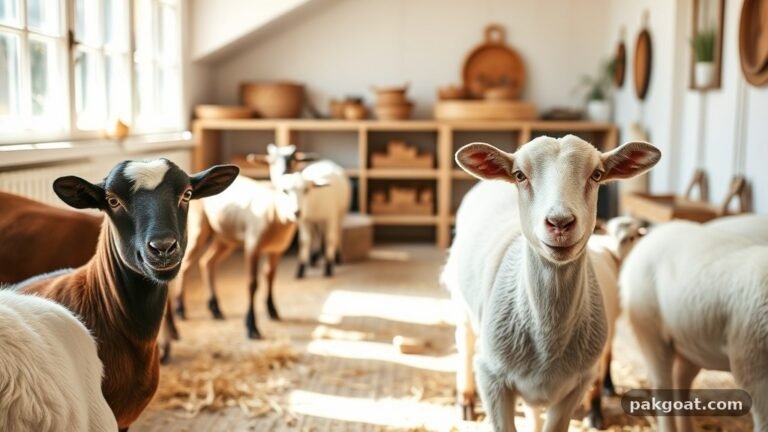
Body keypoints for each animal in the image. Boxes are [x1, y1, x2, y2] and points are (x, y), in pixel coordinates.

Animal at [173, 173, 325, 339]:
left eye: (307, 190)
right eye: (284, 190)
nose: (297, 213)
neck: (275, 211)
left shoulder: (276, 251)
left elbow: (270, 277)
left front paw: (272, 311)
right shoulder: (252, 246)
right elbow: (253, 284)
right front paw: (251, 327)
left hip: (225, 236)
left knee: (206, 262)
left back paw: (215, 309)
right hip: (199, 227)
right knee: (186, 265)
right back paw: (180, 309)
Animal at [442, 135, 660, 431]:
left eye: (597, 174)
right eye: (519, 175)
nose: (560, 223)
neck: (548, 332)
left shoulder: (576, 385)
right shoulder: (493, 381)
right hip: (462, 306)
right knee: (464, 344)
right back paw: (465, 401)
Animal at [621, 220, 768, 432]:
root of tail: (653, 233)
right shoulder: (752, 362)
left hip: (691, 344)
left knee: (680, 381)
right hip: (649, 329)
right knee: (662, 385)